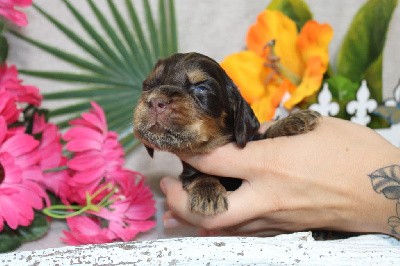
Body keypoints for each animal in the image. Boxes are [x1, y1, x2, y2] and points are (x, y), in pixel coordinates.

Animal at [133, 52, 320, 216]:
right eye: (148, 85)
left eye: (201, 88)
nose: (155, 101)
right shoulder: (189, 171)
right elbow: (199, 175)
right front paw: (208, 192)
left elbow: (263, 135)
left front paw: (293, 120)